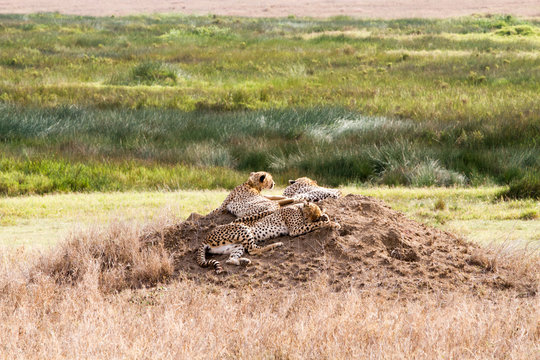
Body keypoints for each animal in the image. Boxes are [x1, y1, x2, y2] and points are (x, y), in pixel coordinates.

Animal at [196, 202, 340, 272]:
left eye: (314, 215)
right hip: (243, 229)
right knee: (253, 249)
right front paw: (332, 223)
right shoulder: (294, 230)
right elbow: (313, 225)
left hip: (236, 245)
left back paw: (243, 261)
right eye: (310, 214)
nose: (311, 218)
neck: (299, 208)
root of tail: (205, 237)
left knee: (231, 259)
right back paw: (275, 245)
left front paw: (325, 217)